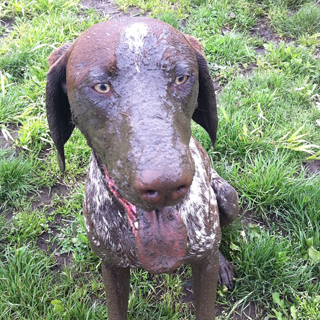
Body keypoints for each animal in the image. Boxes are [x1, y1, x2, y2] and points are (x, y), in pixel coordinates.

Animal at [46, 18, 239, 320]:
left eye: (181, 78)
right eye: (101, 86)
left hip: (228, 199)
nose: (166, 186)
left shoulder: (203, 259)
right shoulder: (112, 267)